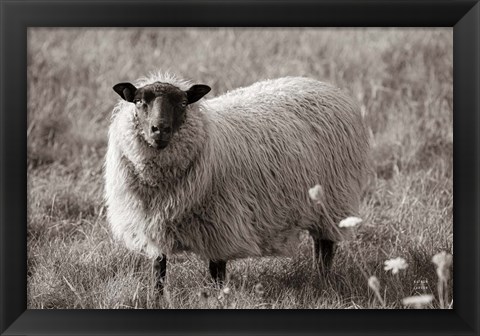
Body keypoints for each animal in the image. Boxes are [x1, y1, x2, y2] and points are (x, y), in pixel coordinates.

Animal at [104, 71, 368, 292]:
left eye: (182, 103)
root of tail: (324, 86)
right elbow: (159, 271)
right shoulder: (152, 227)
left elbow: (217, 272)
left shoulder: (220, 226)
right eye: (140, 101)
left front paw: (219, 297)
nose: (160, 130)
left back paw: (322, 279)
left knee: (325, 246)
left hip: (333, 199)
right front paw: (156, 298)